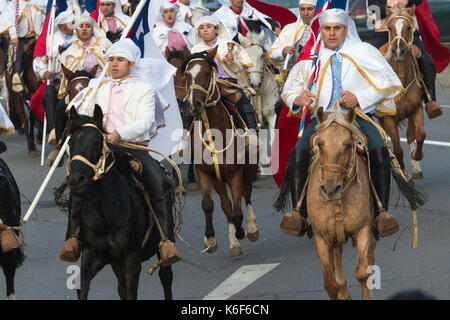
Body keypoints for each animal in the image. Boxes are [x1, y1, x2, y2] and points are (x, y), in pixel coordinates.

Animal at [66, 106, 173, 298]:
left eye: (96, 142)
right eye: (70, 143)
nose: (76, 179)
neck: (106, 213)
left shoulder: (131, 261)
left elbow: (131, 293)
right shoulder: (92, 256)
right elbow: (83, 287)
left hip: (162, 251)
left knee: (166, 277)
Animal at [183, 48, 260, 258]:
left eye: (206, 73)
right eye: (187, 75)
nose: (193, 105)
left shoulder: (236, 174)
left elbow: (238, 210)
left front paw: (243, 230)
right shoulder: (205, 173)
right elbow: (210, 205)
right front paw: (210, 239)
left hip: (249, 169)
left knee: (247, 193)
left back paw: (250, 229)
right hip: (219, 180)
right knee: (226, 205)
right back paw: (234, 242)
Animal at [310, 107, 376, 300]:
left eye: (347, 144)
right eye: (320, 143)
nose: (331, 188)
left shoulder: (363, 230)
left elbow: (362, 273)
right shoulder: (321, 238)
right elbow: (330, 284)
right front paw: (340, 290)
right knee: (337, 254)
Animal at [380, 5, 426, 180]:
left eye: (408, 27)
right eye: (390, 28)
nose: (398, 51)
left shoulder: (416, 109)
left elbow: (420, 135)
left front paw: (417, 158)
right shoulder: (388, 118)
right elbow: (398, 149)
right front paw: (404, 173)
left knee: (410, 134)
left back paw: (416, 166)